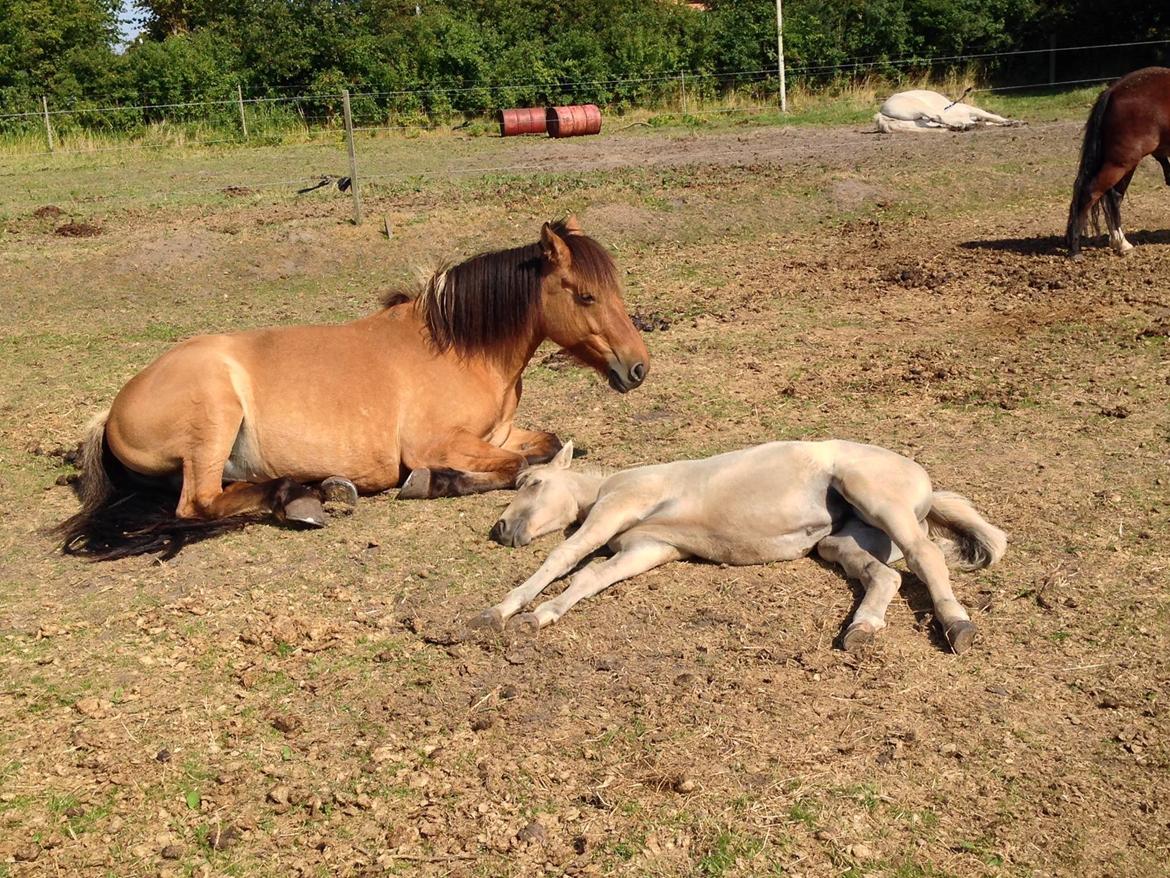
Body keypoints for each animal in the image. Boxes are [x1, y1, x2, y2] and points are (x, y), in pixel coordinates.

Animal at [57, 217, 650, 559]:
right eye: (586, 296)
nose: (638, 368)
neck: (461, 349)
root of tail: (110, 413)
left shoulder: (500, 434)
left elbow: (544, 445)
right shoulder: (436, 444)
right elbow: (520, 467)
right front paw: (430, 483)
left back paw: (316, 490)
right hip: (214, 414)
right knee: (196, 504)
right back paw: (300, 498)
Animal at [475, 440, 1006, 655]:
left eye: (533, 482)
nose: (500, 529)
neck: (608, 486)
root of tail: (927, 487)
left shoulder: (618, 509)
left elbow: (564, 557)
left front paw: (497, 613)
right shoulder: (646, 548)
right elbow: (588, 578)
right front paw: (538, 617)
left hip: (876, 500)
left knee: (925, 556)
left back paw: (958, 626)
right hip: (840, 541)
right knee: (886, 575)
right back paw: (861, 630)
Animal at [875, 88, 1020, 133]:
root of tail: (881, 110)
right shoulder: (973, 110)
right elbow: (992, 116)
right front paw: (1013, 122)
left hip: (915, 121)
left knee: (934, 123)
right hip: (919, 107)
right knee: (937, 117)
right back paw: (964, 126)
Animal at [1071, 67, 1170, 257]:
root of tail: (1114, 90)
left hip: (1123, 164)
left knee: (1114, 197)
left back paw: (1121, 243)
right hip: (1122, 162)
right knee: (1090, 193)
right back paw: (1075, 249)